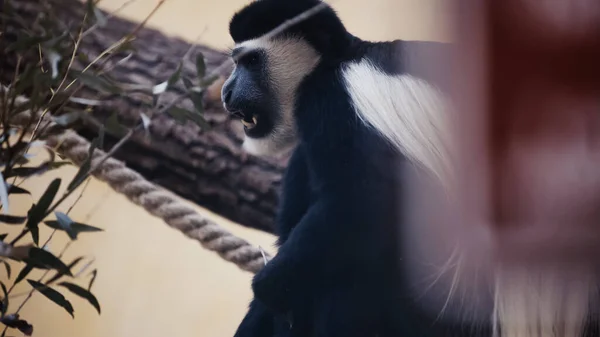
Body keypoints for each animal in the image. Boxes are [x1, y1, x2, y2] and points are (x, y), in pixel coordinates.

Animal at [220, 0, 600, 334]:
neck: (336, 61)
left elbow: (361, 202)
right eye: (236, 62)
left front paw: (269, 286)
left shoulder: (336, 102)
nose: (225, 91)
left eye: (251, 61)